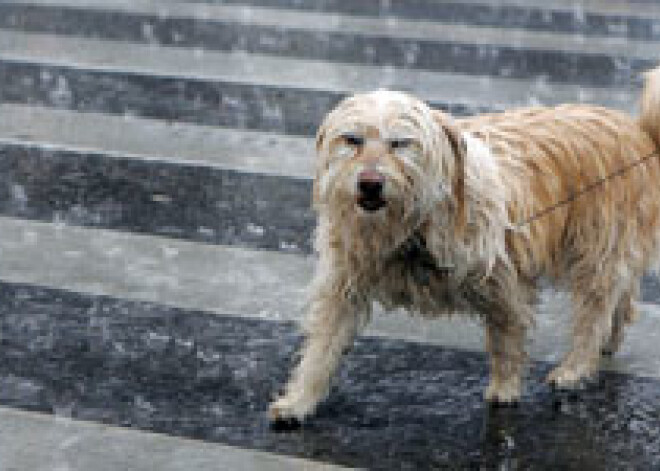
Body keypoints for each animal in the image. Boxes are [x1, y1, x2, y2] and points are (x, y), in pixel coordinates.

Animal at [270, 64, 660, 426]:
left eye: (400, 143)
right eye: (352, 140)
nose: (369, 183)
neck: (412, 227)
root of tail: (637, 130)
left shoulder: (505, 282)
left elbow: (506, 339)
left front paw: (504, 389)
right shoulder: (344, 284)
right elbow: (322, 347)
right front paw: (299, 400)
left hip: (597, 245)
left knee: (595, 308)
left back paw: (576, 366)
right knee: (622, 296)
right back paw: (608, 341)